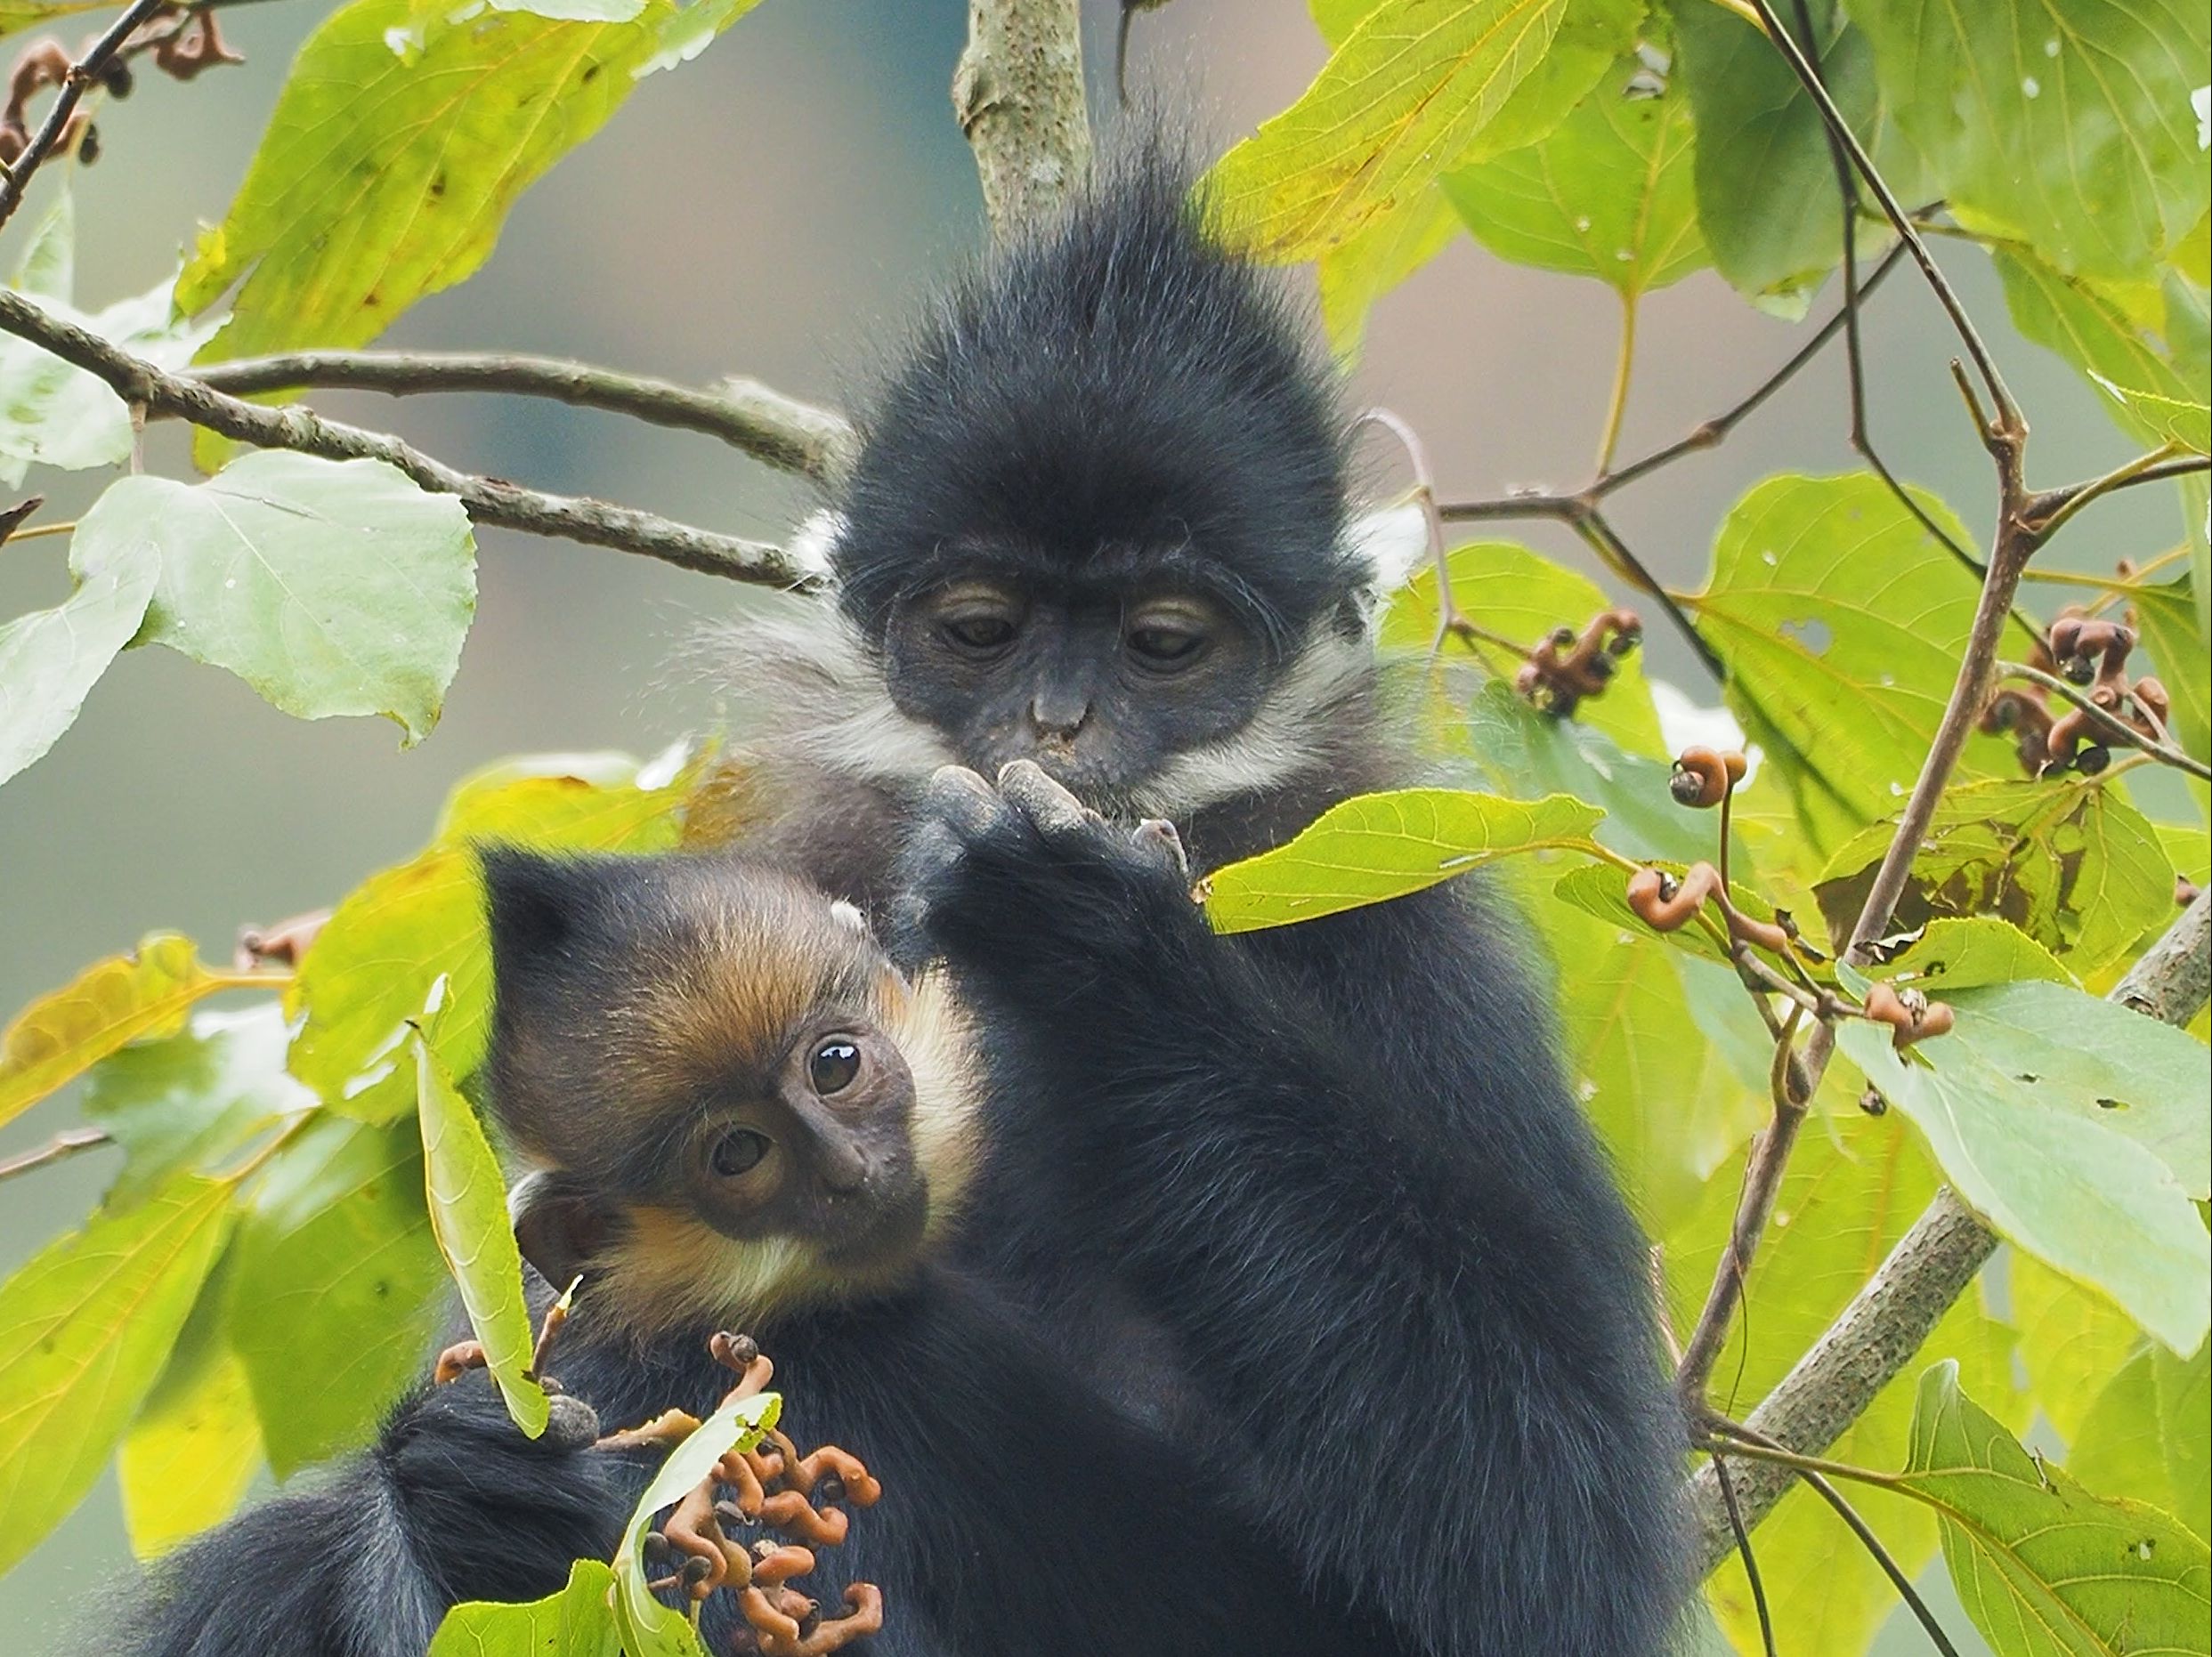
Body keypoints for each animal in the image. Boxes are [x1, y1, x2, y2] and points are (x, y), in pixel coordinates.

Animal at [717, 158, 1681, 1654]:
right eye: (982, 628)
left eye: (1162, 642)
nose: (1059, 722)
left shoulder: (1402, 936)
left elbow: (1562, 1530)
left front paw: (1086, 947)